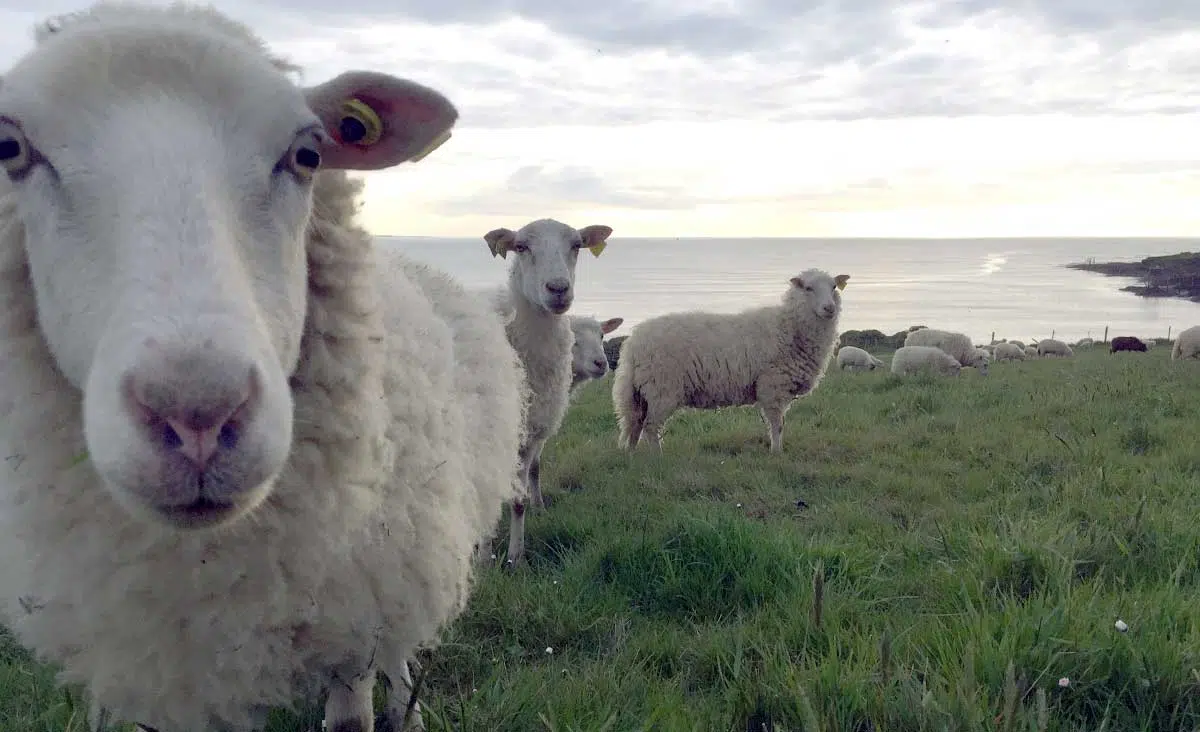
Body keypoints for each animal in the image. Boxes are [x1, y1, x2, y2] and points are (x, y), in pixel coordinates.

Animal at [482, 216, 609, 564]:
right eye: (521, 246)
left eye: (577, 245)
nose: (558, 288)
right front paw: (484, 557)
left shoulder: (532, 432)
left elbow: (520, 497)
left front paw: (516, 557)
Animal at [614, 267, 849, 451]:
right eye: (808, 288)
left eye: (833, 287)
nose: (829, 308)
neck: (790, 326)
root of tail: (633, 343)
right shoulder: (772, 386)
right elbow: (778, 425)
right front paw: (776, 453)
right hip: (662, 388)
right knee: (650, 427)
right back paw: (657, 457)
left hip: (641, 391)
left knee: (635, 423)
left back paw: (632, 455)